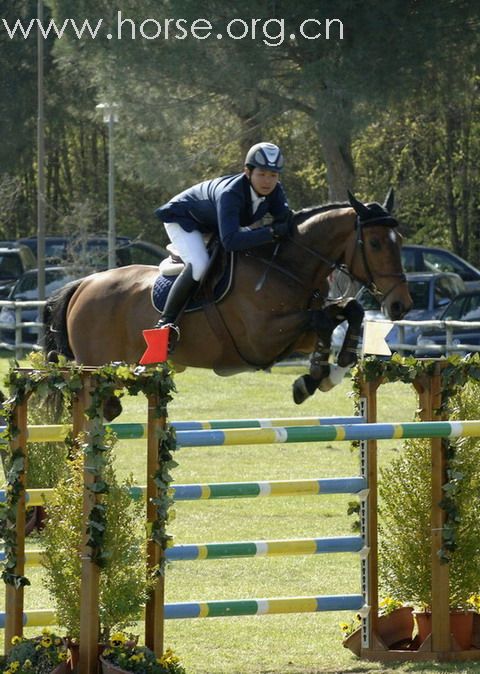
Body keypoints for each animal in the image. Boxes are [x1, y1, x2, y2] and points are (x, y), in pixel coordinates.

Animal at [44, 190, 412, 410]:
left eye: (400, 239)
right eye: (375, 243)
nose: (401, 305)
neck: (284, 265)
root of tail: (84, 284)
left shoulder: (300, 336)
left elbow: (347, 312)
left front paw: (328, 372)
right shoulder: (261, 339)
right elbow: (324, 318)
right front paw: (313, 379)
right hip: (96, 366)